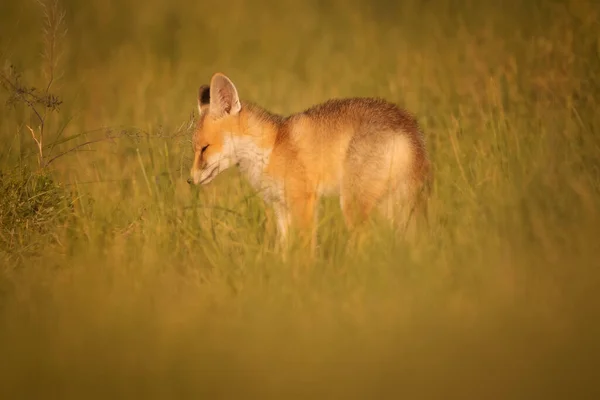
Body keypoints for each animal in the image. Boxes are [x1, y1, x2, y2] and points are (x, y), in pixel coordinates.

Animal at [188, 72, 432, 253]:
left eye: (204, 148)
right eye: (195, 149)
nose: (190, 180)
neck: (271, 147)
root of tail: (406, 124)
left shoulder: (303, 201)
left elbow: (304, 252)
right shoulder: (281, 208)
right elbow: (285, 252)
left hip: (353, 203)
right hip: (391, 205)